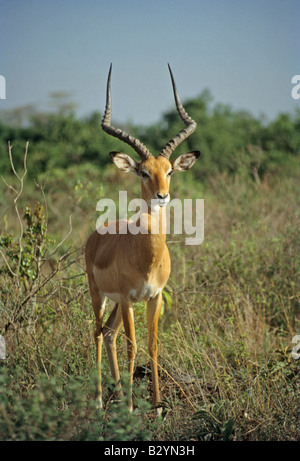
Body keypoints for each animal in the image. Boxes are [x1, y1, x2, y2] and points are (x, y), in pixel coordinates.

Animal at [85, 63, 200, 414]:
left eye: (170, 171)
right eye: (143, 172)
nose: (162, 195)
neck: (146, 256)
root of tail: (95, 235)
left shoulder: (154, 297)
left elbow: (152, 345)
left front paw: (158, 404)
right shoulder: (128, 298)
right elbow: (133, 346)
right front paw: (133, 408)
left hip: (117, 303)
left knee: (109, 334)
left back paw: (117, 391)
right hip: (100, 296)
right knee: (98, 333)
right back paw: (100, 399)